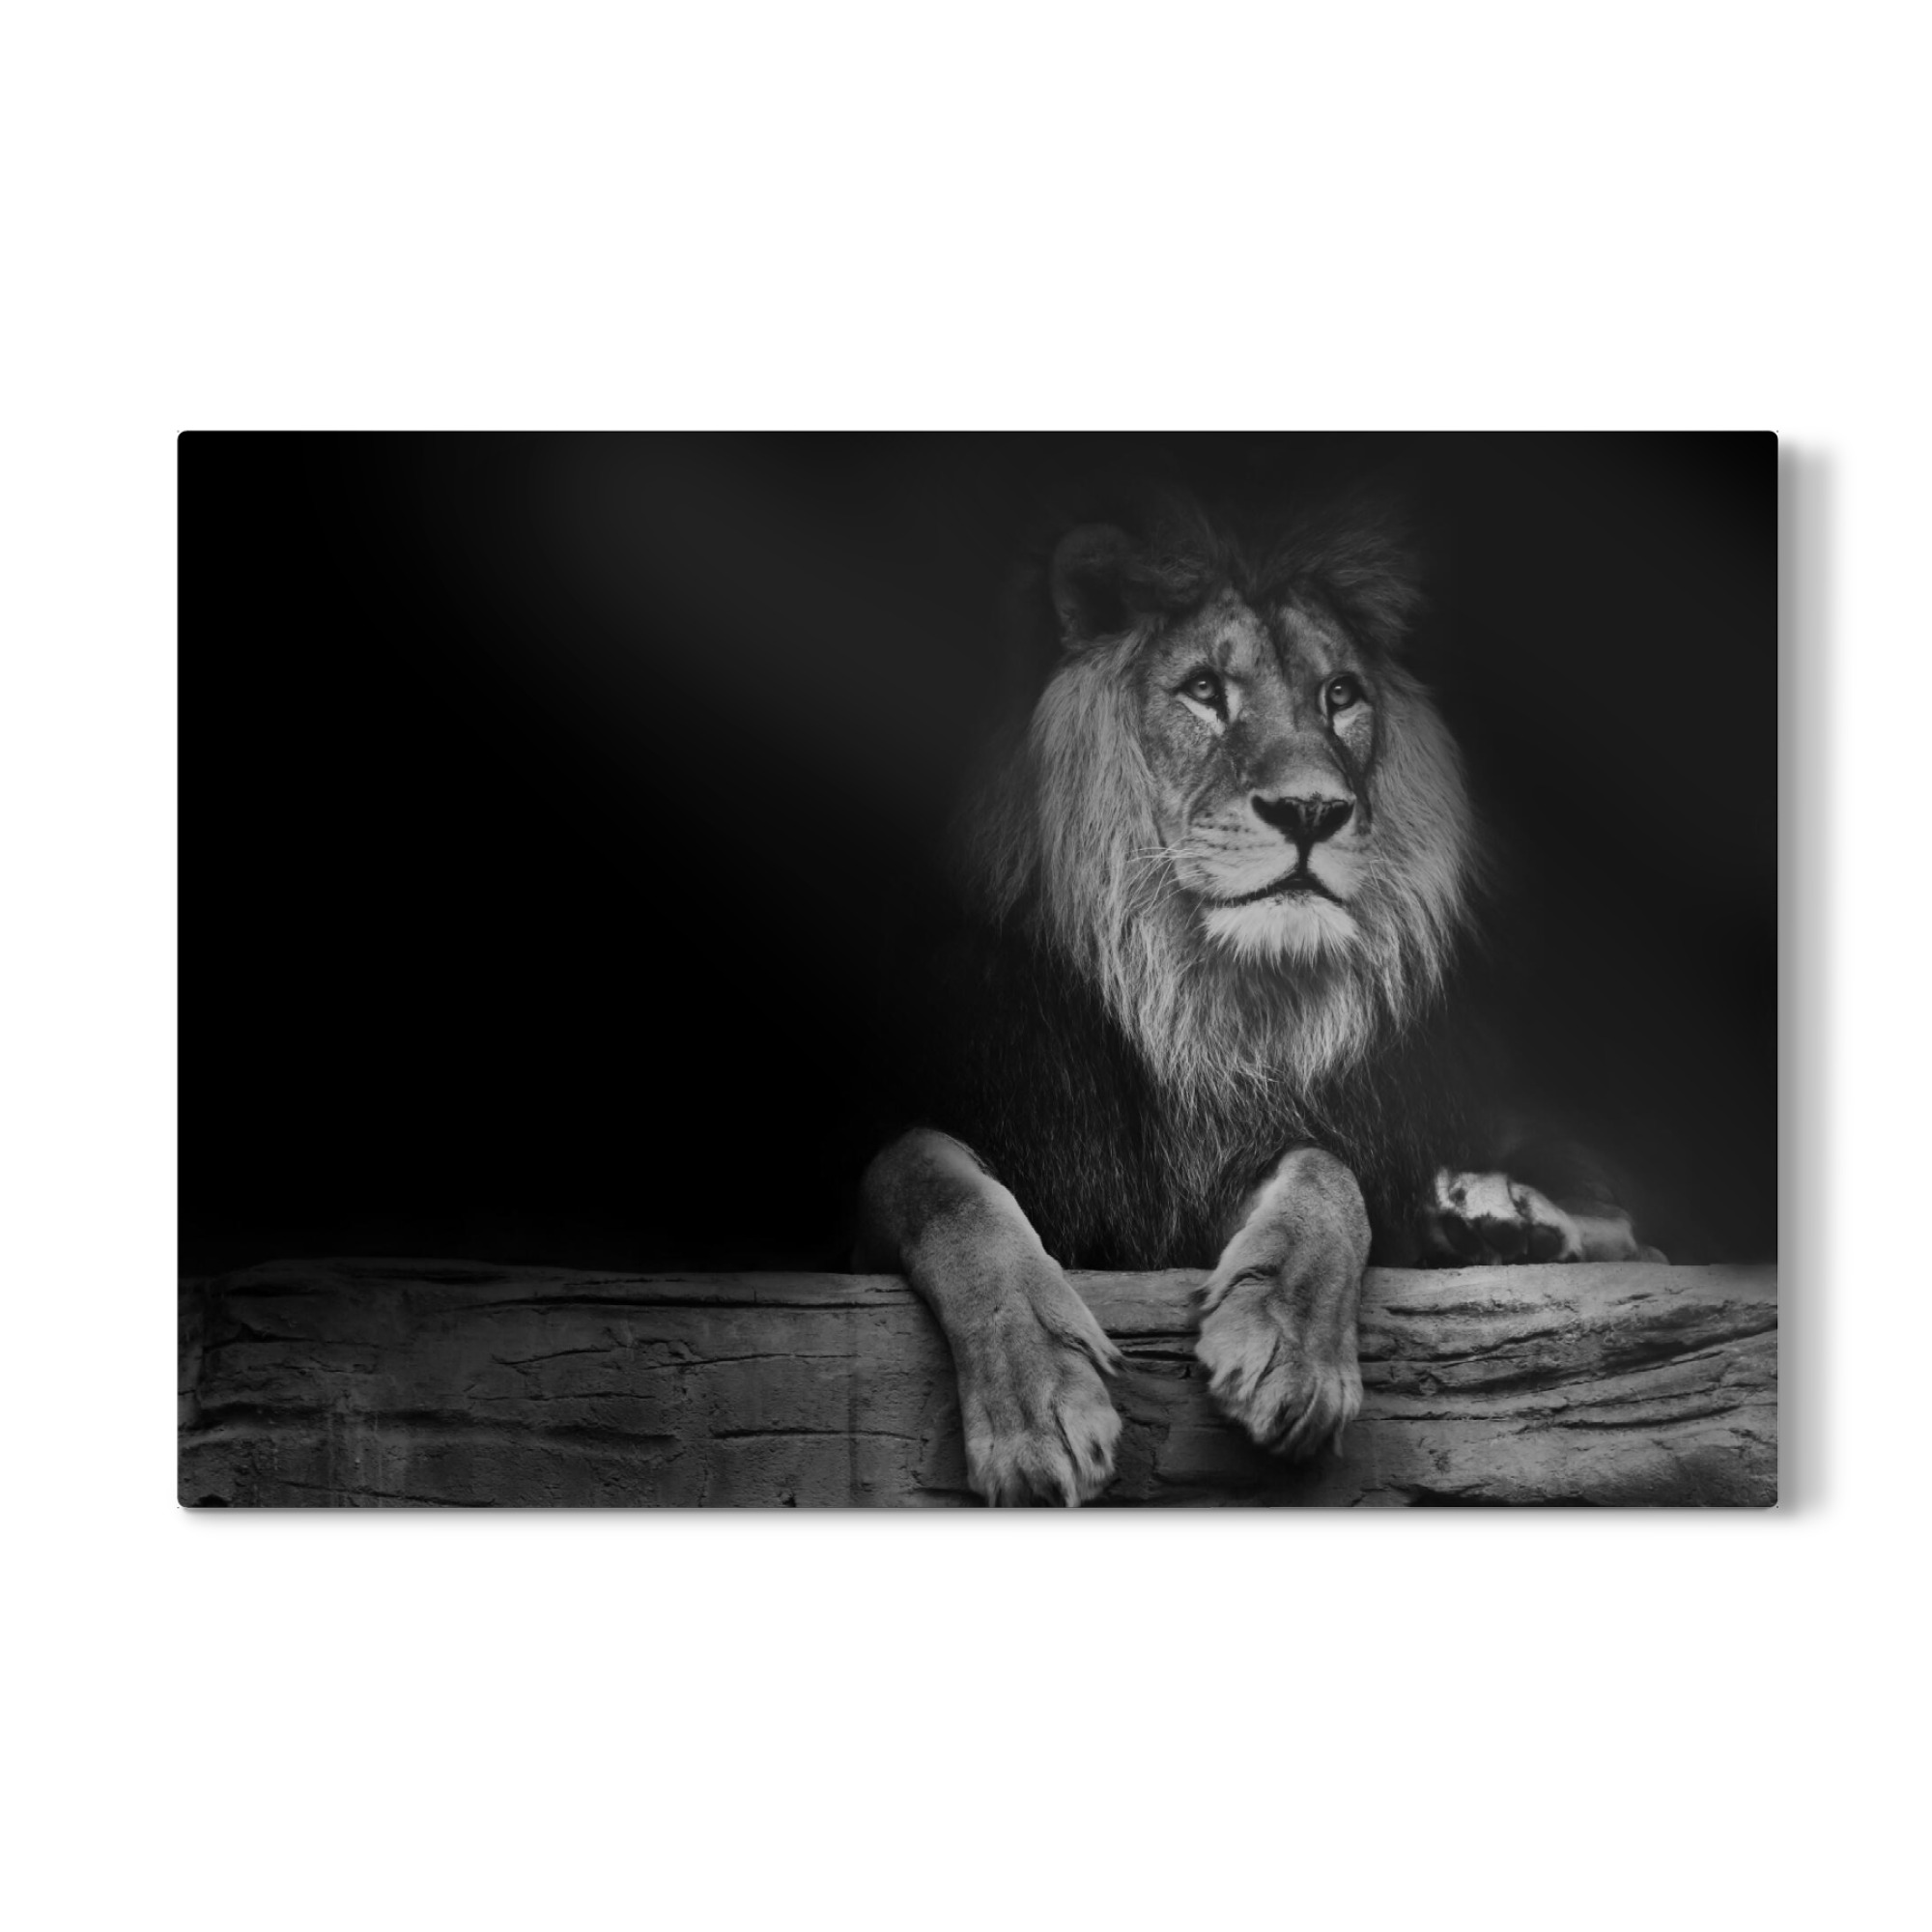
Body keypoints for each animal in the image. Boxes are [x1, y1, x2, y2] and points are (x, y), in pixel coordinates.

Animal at [856, 494, 1652, 1505]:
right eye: (1203, 689)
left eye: (1341, 695)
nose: (1311, 811)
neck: (1194, 999)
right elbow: (931, 1179)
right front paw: (1039, 1402)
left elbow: (1327, 1169)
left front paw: (1288, 1349)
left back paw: (1499, 1219)